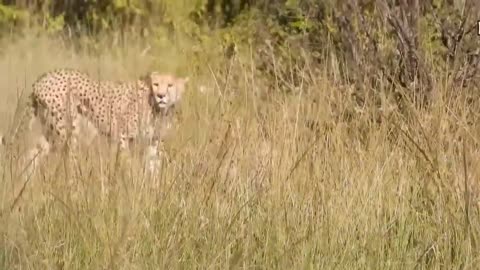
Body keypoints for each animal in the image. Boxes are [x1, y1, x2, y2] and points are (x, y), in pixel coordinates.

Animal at [6, 68, 189, 172]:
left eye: (170, 85)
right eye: (156, 84)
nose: (161, 96)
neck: (159, 109)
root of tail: (41, 79)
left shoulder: (154, 142)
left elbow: (153, 168)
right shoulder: (121, 135)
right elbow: (127, 163)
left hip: (49, 131)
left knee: (32, 155)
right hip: (67, 130)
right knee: (67, 160)